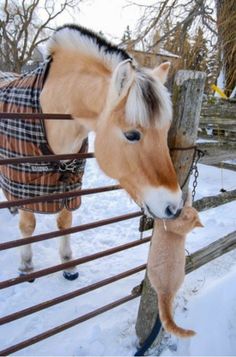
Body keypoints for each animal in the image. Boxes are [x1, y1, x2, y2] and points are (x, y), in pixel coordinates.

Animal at [0, 25, 183, 280]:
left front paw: (68, 263)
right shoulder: (25, 184)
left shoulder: (71, 183)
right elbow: (28, 225)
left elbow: (65, 221)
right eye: (131, 135)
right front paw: (26, 265)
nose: (174, 207)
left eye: (165, 130)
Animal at [148, 192, 203, 336]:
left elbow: (159, 217)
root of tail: (166, 293)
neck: (179, 231)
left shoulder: (164, 220)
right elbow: (188, 200)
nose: (179, 210)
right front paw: (187, 194)